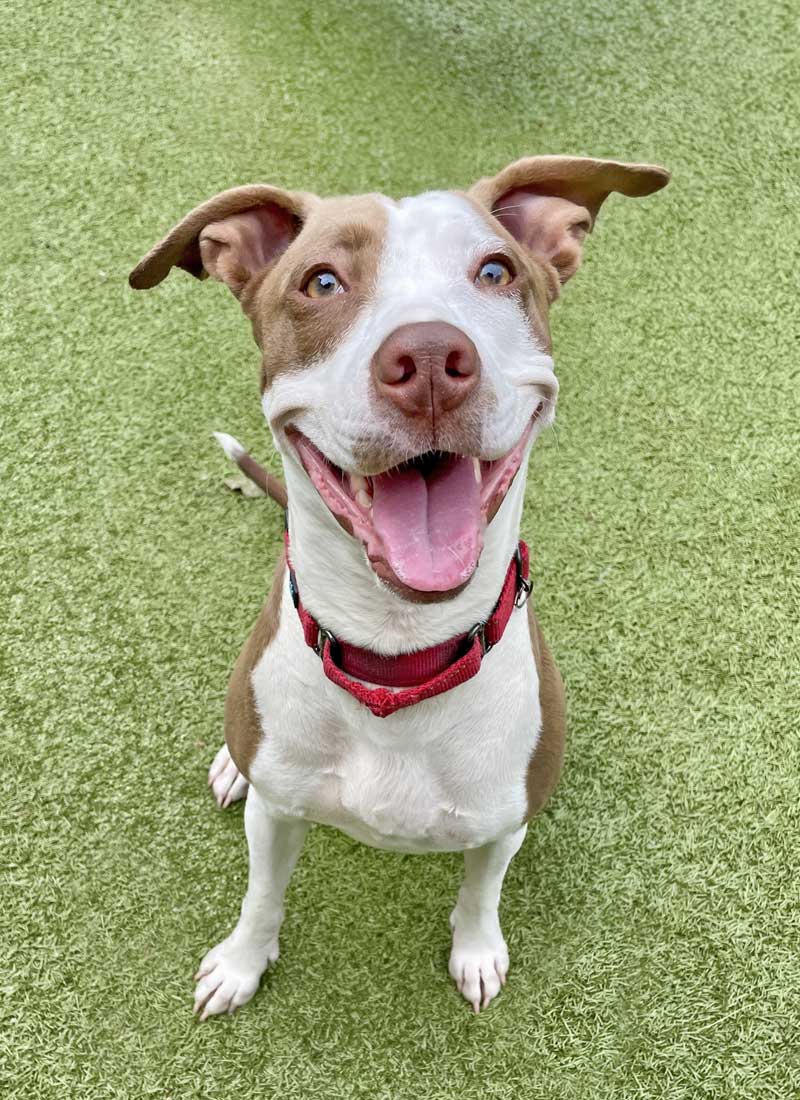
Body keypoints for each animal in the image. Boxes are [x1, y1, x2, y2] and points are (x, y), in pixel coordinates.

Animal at [129, 152, 669, 1012]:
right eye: (321, 282)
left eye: (495, 272)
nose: (429, 362)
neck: (396, 656)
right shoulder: (277, 813)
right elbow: (262, 895)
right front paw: (241, 964)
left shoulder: (505, 821)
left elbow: (480, 892)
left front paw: (476, 954)